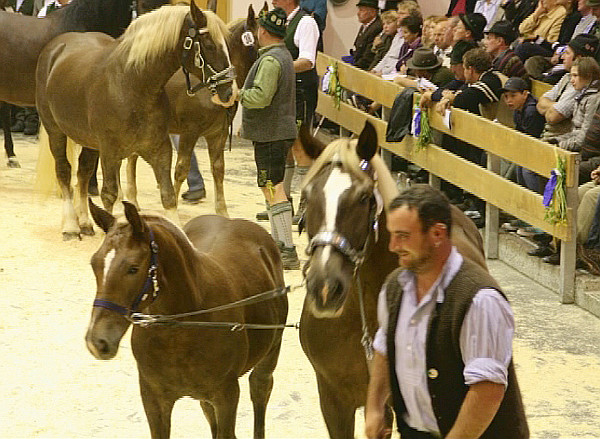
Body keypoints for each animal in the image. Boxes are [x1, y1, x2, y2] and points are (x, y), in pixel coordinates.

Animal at [35, 1, 239, 239]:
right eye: (208, 44)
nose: (230, 93)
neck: (133, 84)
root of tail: (55, 47)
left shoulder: (160, 150)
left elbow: (168, 195)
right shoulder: (110, 152)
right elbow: (109, 194)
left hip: (89, 142)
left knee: (83, 174)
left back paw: (84, 223)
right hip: (55, 131)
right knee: (64, 171)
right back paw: (70, 226)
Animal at [85, 201, 290, 438]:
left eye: (133, 268)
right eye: (94, 263)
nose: (97, 342)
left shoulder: (227, 395)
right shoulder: (153, 398)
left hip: (271, 352)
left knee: (260, 389)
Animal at [124, 3, 262, 217]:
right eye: (259, 40)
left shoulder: (218, 133)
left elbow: (218, 169)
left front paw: (223, 212)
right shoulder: (190, 132)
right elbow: (181, 169)